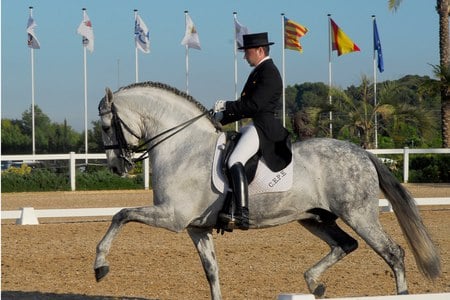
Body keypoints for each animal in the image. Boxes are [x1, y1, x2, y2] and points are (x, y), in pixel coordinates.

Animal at [94, 82, 440, 300]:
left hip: (359, 214)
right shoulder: (196, 228)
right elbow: (211, 271)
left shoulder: (172, 217)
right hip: (315, 218)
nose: (115, 166)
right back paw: (314, 284)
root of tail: (363, 153)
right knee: (346, 245)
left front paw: (100, 265)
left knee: (392, 253)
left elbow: (120, 215)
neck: (183, 146)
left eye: (107, 127)